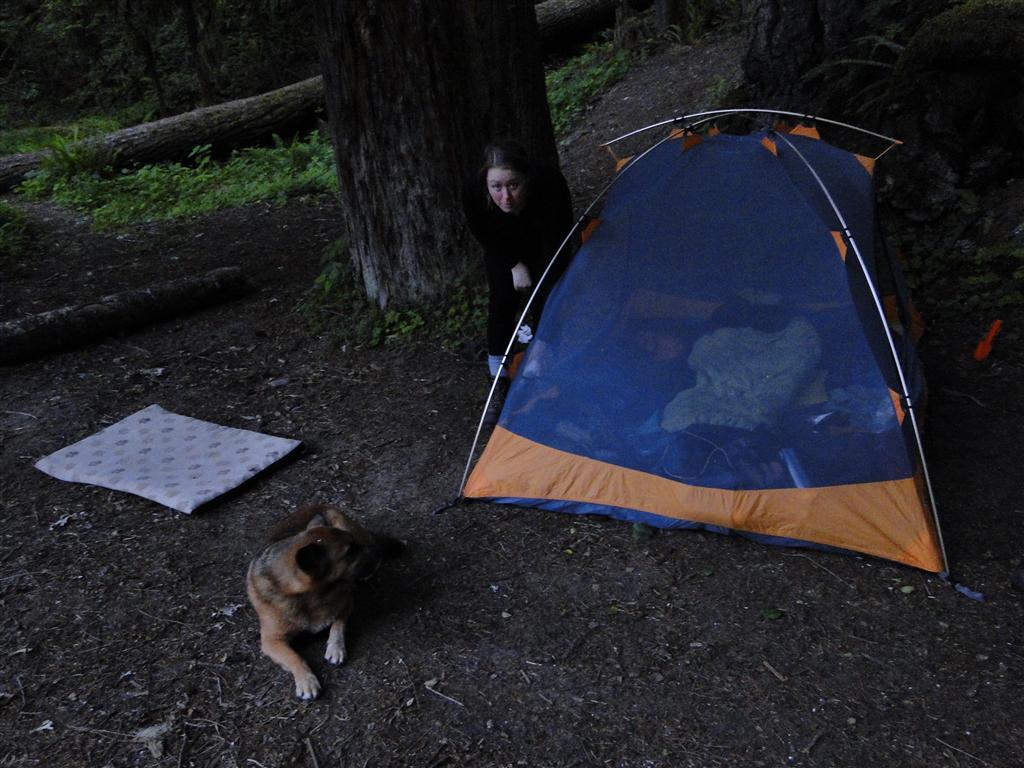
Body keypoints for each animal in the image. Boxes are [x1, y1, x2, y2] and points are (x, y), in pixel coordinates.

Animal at [246, 504, 403, 699]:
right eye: (349, 551)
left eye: (353, 544)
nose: (378, 552)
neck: (309, 597)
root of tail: (317, 505)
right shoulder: (271, 641)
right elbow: (294, 656)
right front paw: (306, 680)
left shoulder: (347, 601)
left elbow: (338, 625)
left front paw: (336, 648)